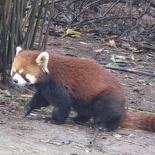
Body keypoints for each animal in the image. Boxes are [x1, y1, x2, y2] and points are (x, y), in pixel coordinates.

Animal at [10, 46, 155, 131]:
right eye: (13, 71)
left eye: (22, 73)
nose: (15, 80)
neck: (48, 73)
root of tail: (123, 104)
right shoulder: (44, 88)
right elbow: (40, 99)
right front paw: (28, 108)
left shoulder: (57, 84)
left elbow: (63, 104)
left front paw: (55, 120)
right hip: (84, 100)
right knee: (85, 109)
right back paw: (77, 119)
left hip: (107, 96)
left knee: (107, 107)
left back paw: (108, 126)